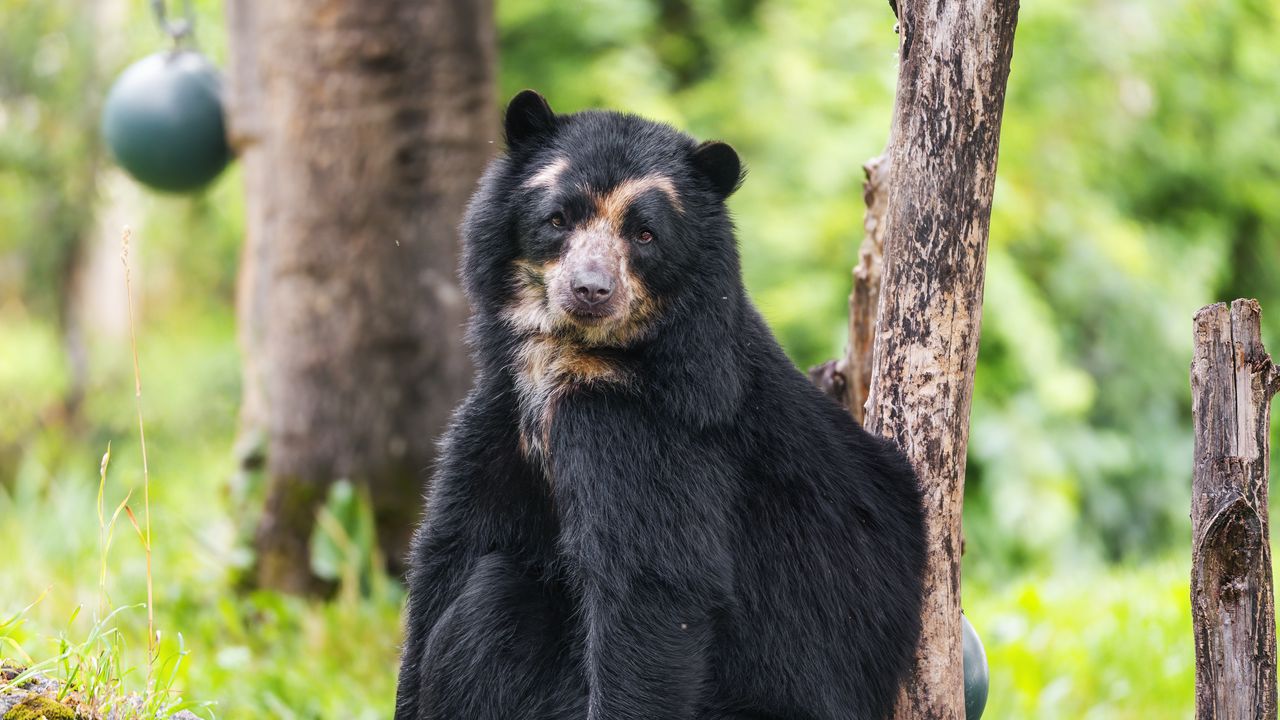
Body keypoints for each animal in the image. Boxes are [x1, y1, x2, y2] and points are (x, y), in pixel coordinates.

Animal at [394, 90, 926, 720]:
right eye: (558, 218)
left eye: (645, 234)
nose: (590, 290)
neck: (574, 360)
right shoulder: (500, 412)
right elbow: (451, 547)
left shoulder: (645, 433)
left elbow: (653, 589)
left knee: (495, 604)